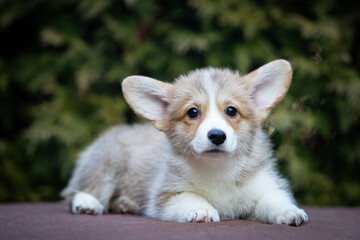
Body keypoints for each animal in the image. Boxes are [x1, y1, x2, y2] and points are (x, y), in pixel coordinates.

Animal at [61, 59, 306, 225]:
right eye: (193, 112)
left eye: (231, 110)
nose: (217, 135)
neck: (218, 168)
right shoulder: (167, 195)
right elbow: (190, 197)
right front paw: (202, 210)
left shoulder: (265, 184)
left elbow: (273, 199)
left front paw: (289, 212)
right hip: (105, 163)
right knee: (80, 190)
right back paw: (88, 204)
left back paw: (126, 204)